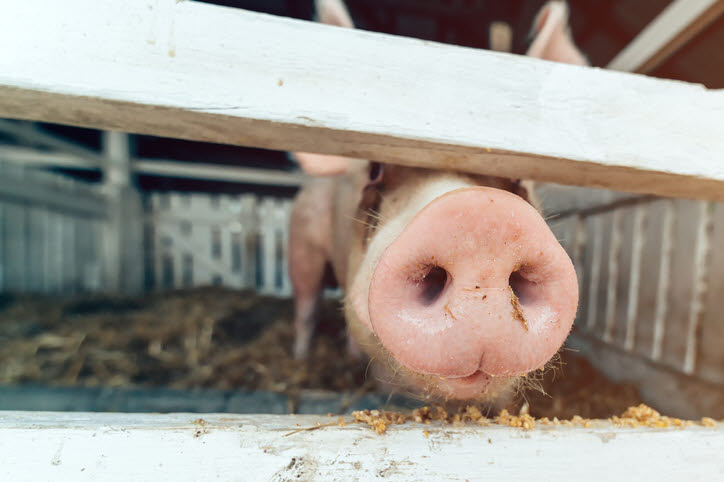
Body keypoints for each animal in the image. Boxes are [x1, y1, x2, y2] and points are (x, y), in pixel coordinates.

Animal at [288, 0, 588, 402]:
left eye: (516, 178)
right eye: (375, 170)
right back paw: (301, 359)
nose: (482, 216)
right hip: (301, 238)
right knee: (305, 304)